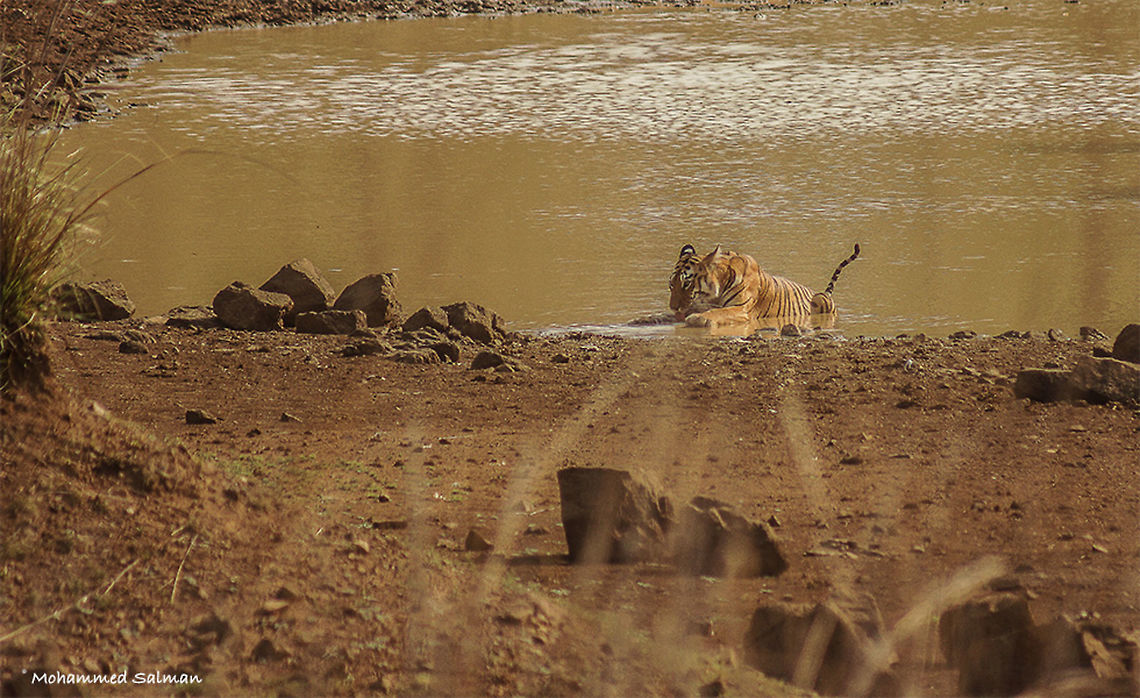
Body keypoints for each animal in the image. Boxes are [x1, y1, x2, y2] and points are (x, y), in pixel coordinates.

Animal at [669, 243, 860, 328]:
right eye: (671, 285)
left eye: (686, 284)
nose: (673, 307)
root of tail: (825, 293)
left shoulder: (742, 309)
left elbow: (719, 312)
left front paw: (697, 318)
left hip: (821, 299)